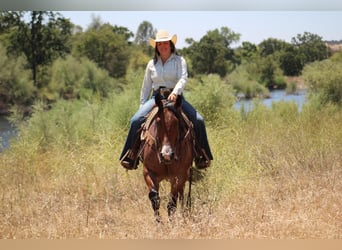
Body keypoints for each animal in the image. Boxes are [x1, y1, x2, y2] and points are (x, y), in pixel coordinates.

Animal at [138, 92, 192, 223]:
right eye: (157, 122)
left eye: (177, 123)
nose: (167, 155)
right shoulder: (148, 172)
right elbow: (154, 198)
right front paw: (159, 222)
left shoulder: (180, 176)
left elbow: (172, 202)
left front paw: (171, 223)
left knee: (181, 195)